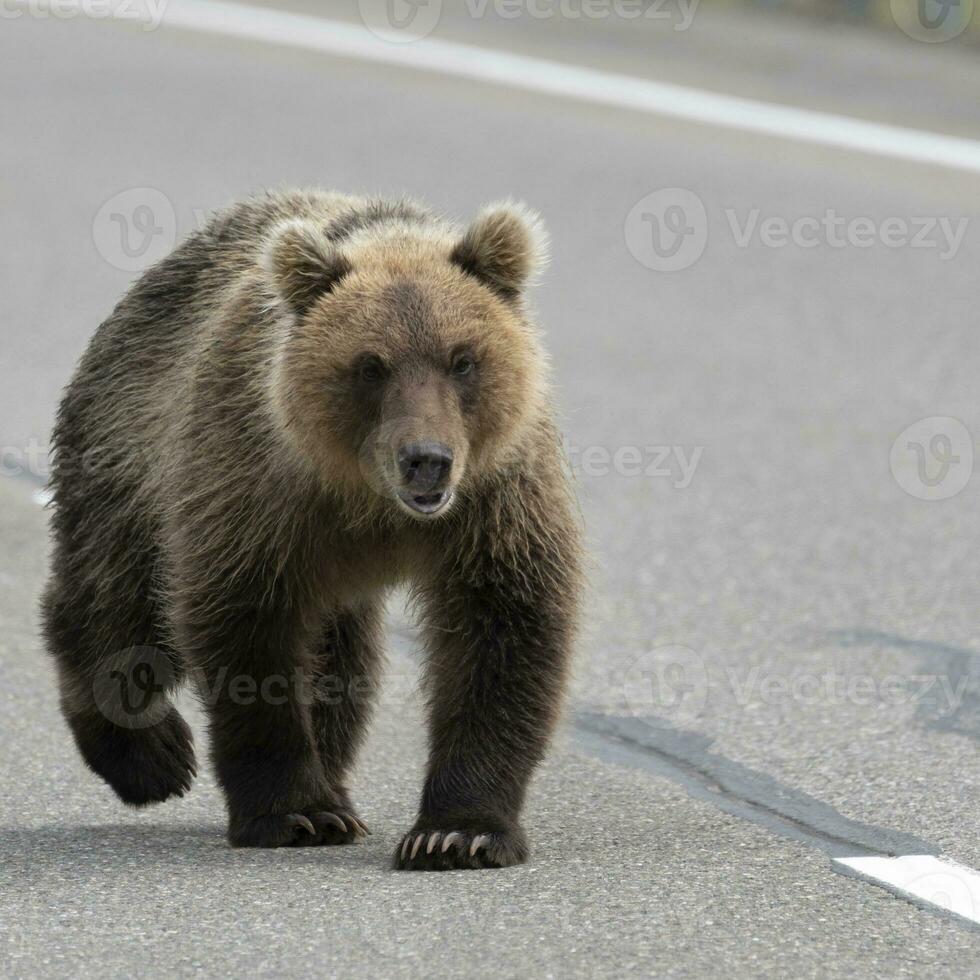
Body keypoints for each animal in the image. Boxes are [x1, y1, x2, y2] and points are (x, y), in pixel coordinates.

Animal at [42, 188, 580, 868]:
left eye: (463, 360)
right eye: (370, 365)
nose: (426, 459)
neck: (370, 503)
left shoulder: (495, 497)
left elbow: (504, 626)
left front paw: (458, 832)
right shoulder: (256, 487)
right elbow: (249, 633)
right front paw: (295, 813)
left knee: (340, 657)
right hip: (130, 452)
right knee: (117, 602)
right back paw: (151, 758)